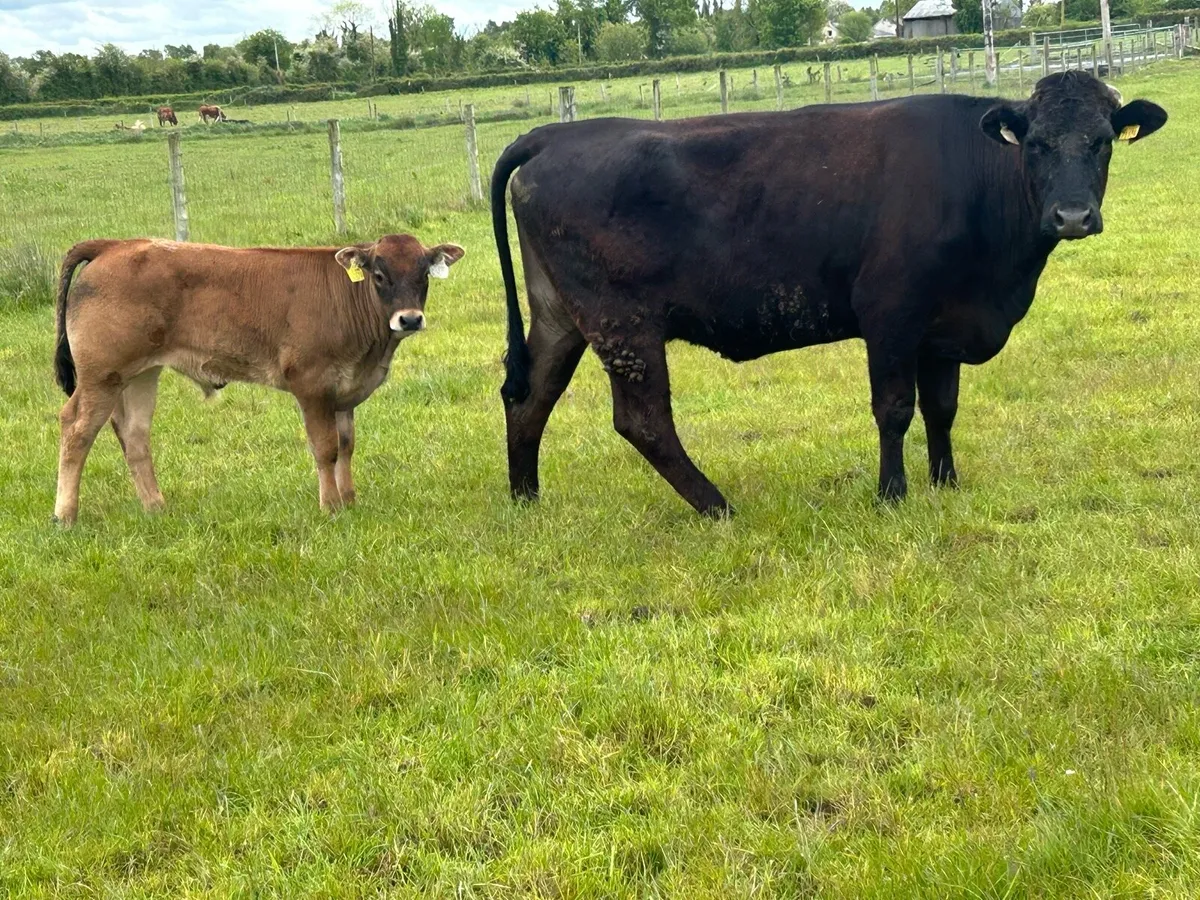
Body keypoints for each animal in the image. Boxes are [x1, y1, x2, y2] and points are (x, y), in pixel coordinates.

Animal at [51, 235, 465, 526]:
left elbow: (347, 446)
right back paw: (64, 516)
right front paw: (330, 506)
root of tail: (115, 245)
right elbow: (326, 448)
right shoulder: (311, 385)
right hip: (101, 376)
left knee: (134, 435)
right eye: (380, 275)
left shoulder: (344, 392)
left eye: (424, 274)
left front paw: (349, 499)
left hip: (139, 374)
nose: (409, 319)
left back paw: (156, 507)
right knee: (76, 429)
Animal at [490, 71, 1167, 517]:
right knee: (643, 420)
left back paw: (527, 501)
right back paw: (717, 506)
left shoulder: (944, 326)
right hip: (623, 323)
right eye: (1037, 144)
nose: (1072, 215)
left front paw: (946, 482)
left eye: (1103, 140)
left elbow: (942, 408)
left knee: (531, 395)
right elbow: (894, 409)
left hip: (561, 315)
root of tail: (554, 135)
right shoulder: (891, 314)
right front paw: (892, 496)